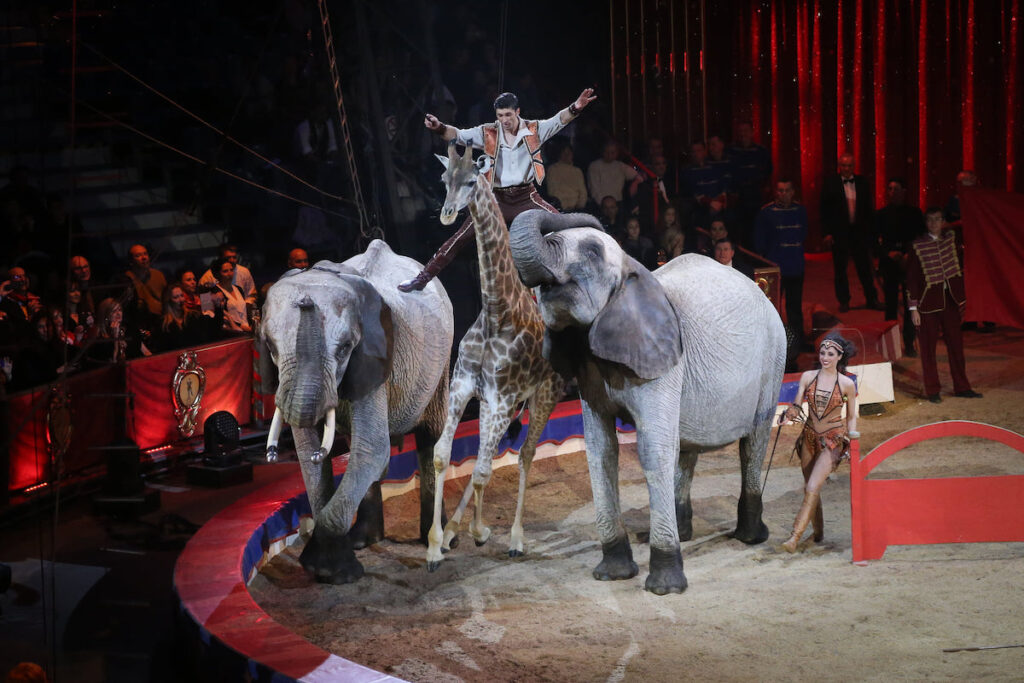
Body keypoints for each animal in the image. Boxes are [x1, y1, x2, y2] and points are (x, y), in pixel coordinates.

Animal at [262, 240, 454, 581]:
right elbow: (308, 451)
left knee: (430, 438)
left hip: (440, 363)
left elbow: (374, 449)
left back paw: (436, 540)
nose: (305, 301)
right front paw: (325, 565)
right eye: (270, 346)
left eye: (344, 350)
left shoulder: (377, 359)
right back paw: (364, 540)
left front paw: (331, 571)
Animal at [425, 141, 565, 569]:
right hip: (497, 403)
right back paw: (455, 531)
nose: (448, 213)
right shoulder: (465, 388)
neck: (495, 311)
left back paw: (513, 537)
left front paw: (479, 531)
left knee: (524, 455)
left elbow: (487, 469)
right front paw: (435, 544)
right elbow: (444, 456)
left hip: (542, 395)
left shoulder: (504, 398)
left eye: (471, 181)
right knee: (489, 455)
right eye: (444, 178)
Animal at [509, 210, 782, 593]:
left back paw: (752, 537)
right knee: (685, 446)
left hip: (774, 357)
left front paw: (665, 587)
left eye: (592, 252)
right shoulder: (589, 369)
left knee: (753, 440)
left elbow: (652, 449)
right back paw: (684, 531)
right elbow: (601, 450)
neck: (632, 269)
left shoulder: (662, 362)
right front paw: (612, 574)